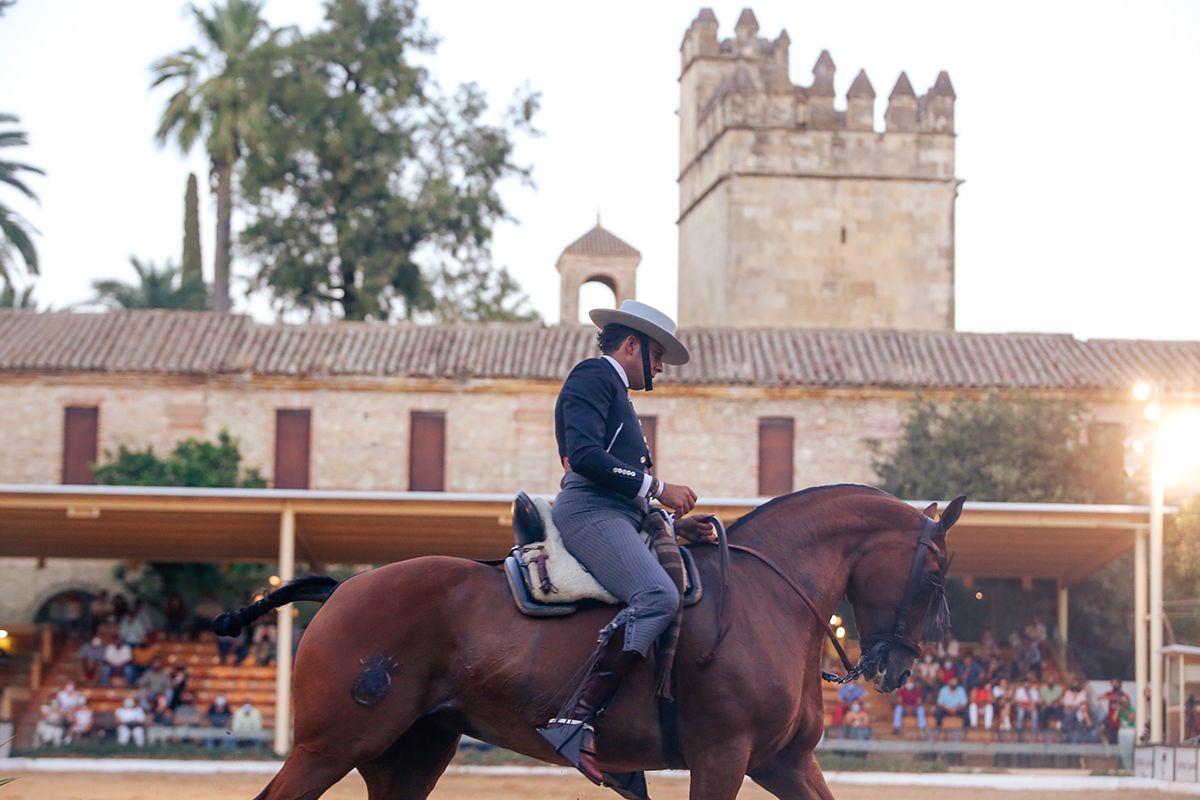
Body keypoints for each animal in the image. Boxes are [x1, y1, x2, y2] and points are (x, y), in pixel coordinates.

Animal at [226, 484, 964, 796]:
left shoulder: (782, 762)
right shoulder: (722, 757)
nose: (897, 671)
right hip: (331, 747)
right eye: (934, 576)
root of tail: (344, 590)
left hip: (407, 758)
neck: (769, 596)